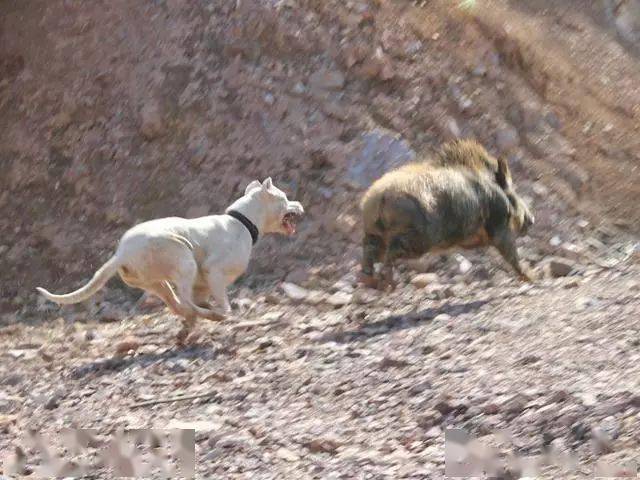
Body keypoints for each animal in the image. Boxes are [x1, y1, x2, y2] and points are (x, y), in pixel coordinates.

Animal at [37, 178, 304, 344]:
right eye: (284, 197)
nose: (300, 204)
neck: (242, 221)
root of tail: (121, 253)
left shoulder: (202, 284)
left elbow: (196, 304)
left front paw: (190, 327)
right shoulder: (214, 272)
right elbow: (223, 304)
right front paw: (223, 315)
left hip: (156, 282)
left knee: (179, 305)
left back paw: (193, 324)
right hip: (183, 260)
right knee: (185, 303)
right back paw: (212, 317)